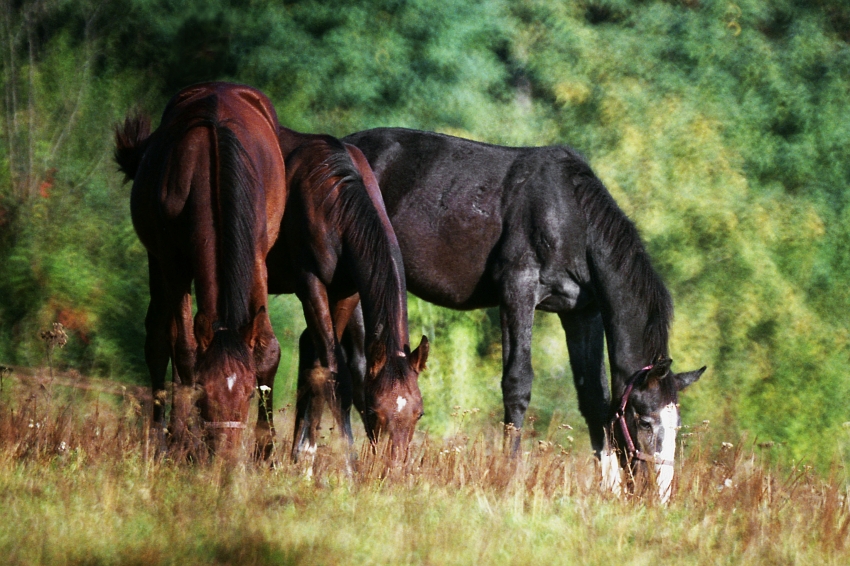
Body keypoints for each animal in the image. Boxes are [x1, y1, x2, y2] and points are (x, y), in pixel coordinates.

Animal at [112, 82, 286, 460]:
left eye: (248, 392)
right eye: (205, 393)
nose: (225, 456)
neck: (210, 167)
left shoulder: (256, 257)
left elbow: (267, 349)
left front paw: (266, 452)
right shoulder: (173, 263)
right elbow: (185, 351)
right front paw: (183, 443)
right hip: (158, 264)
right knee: (160, 339)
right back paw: (164, 438)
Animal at [266, 131, 428, 468]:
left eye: (419, 414)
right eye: (374, 410)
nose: (394, 470)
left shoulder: (347, 294)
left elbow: (321, 366)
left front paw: (304, 455)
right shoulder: (311, 283)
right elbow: (335, 373)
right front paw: (346, 465)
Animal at [338, 129, 704, 502]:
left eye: (676, 425)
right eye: (644, 420)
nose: (659, 495)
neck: (571, 215)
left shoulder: (581, 314)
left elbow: (593, 398)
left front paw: (609, 488)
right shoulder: (518, 290)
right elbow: (517, 384)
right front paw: (510, 477)